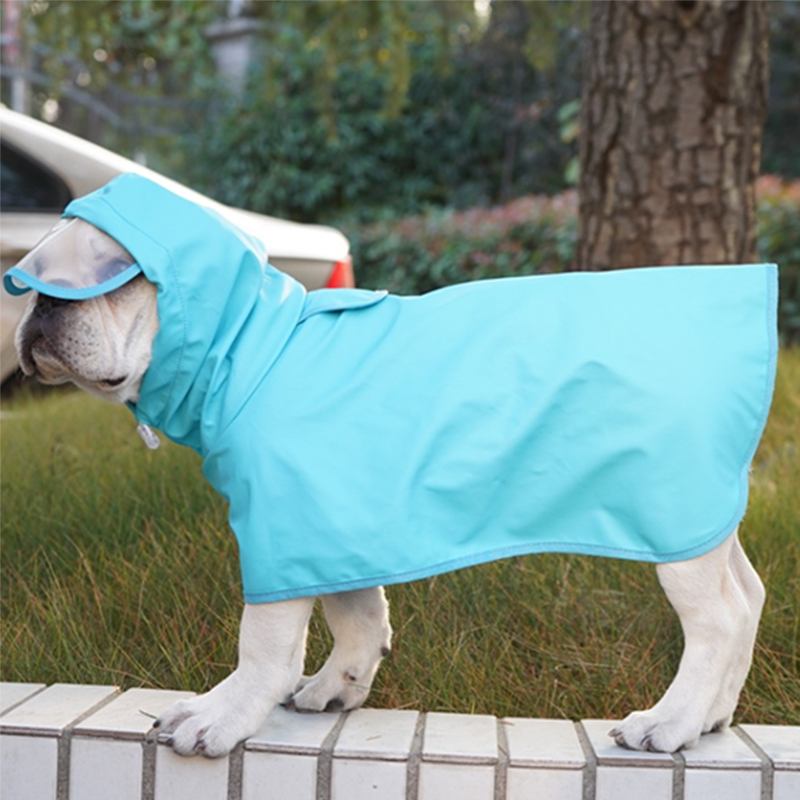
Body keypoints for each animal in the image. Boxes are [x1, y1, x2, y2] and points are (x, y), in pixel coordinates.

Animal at [10, 180, 776, 756]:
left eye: (112, 278)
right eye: (35, 279)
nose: (41, 304)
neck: (253, 351)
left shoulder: (282, 529)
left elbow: (263, 643)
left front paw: (221, 715)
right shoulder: (330, 526)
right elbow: (357, 612)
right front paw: (337, 686)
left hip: (674, 516)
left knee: (718, 619)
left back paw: (670, 722)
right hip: (710, 517)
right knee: (750, 593)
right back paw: (712, 717)